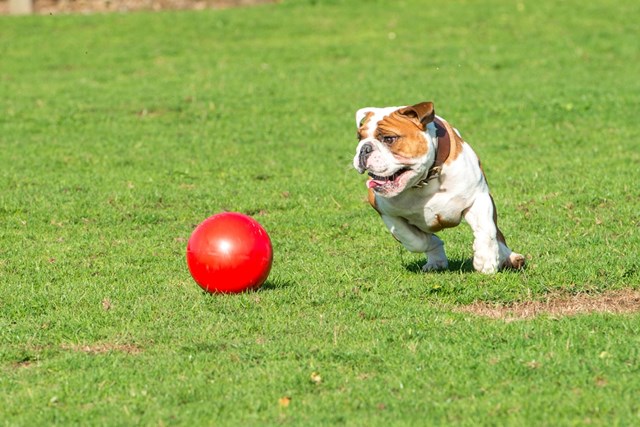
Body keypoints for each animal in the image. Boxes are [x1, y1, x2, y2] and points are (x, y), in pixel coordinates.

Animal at [350, 101, 524, 274]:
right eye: (359, 138)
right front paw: (434, 246)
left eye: (389, 139)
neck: (425, 180)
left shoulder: (478, 198)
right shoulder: (387, 213)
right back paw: (436, 262)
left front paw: (485, 262)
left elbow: (486, 230)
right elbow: (415, 240)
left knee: (497, 234)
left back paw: (509, 257)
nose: (364, 149)